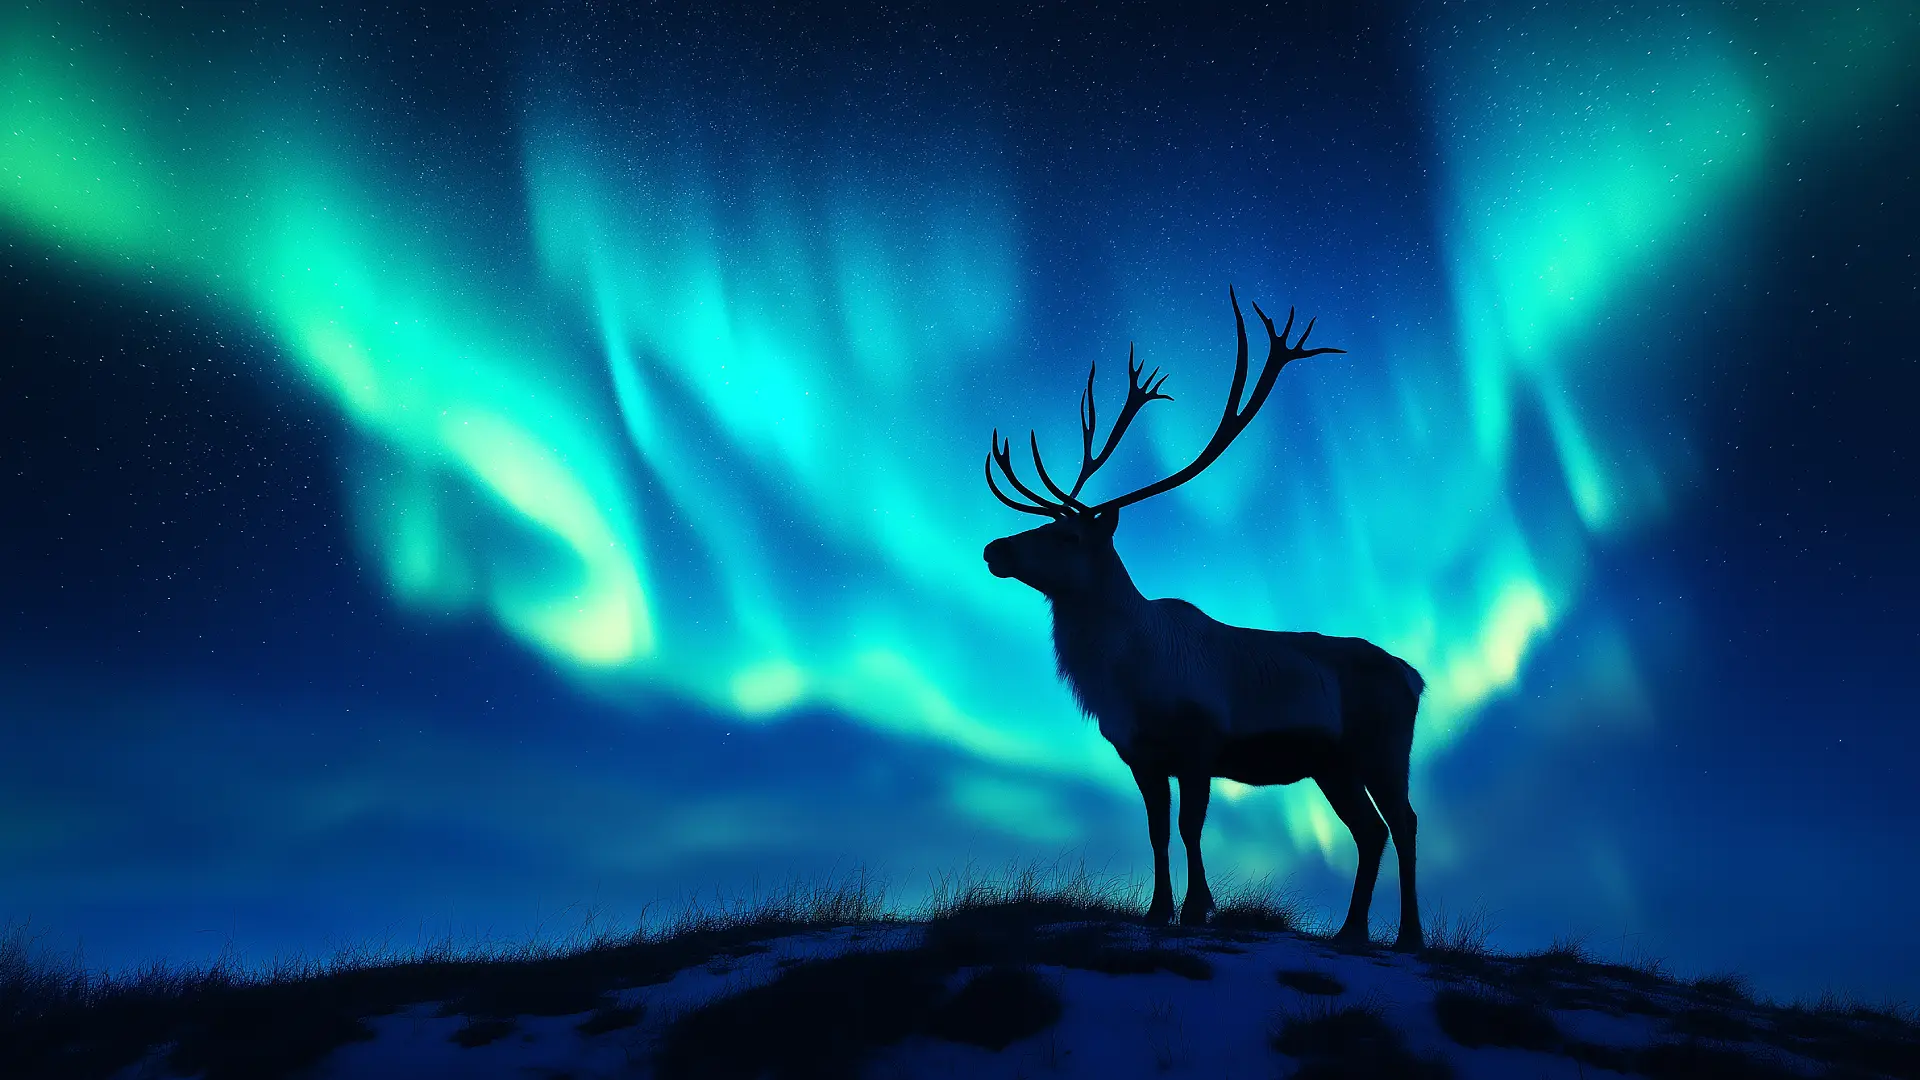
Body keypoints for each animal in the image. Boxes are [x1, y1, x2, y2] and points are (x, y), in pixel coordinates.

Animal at [982, 289, 1425, 950]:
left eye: (1066, 535)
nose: (994, 549)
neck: (1124, 678)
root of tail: (1414, 677)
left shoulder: (1200, 742)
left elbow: (1191, 828)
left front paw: (1196, 909)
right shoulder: (1140, 755)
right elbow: (1157, 832)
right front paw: (1157, 911)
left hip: (1383, 748)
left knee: (1405, 823)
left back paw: (1409, 936)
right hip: (1333, 765)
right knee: (1369, 832)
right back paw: (1351, 931)